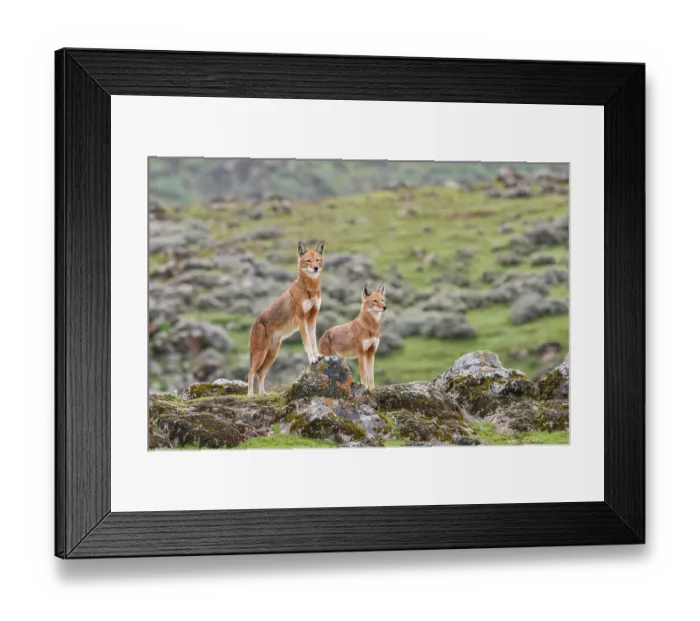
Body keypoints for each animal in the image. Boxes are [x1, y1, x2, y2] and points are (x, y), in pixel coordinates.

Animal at [247, 240, 325, 397]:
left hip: (271, 355)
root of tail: (255, 322)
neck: (310, 289)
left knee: (260, 373)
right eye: (308, 261)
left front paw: (318, 355)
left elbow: (313, 340)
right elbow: (307, 343)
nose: (315, 268)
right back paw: (251, 394)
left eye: (317, 260)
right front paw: (312, 359)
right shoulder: (301, 319)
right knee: (251, 373)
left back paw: (263, 394)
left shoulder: (312, 318)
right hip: (260, 354)